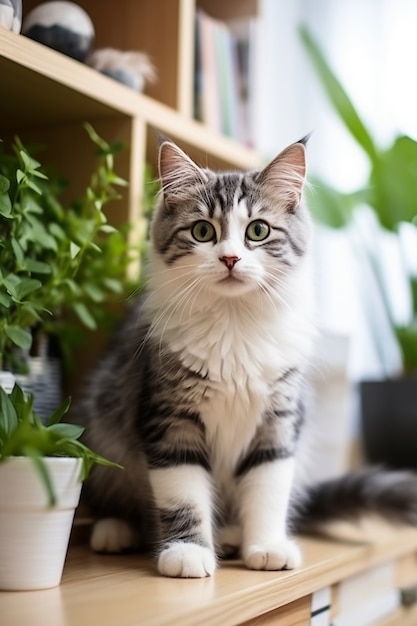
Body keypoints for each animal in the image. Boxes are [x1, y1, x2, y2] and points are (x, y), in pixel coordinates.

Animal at [79, 136, 416, 576]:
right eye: (203, 231)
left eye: (258, 230)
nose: (230, 258)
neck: (233, 322)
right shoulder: (169, 418)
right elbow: (183, 494)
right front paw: (187, 552)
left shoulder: (279, 420)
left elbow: (267, 490)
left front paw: (266, 547)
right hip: (104, 424)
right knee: (113, 498)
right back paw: (116, 530)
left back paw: (230, 535)